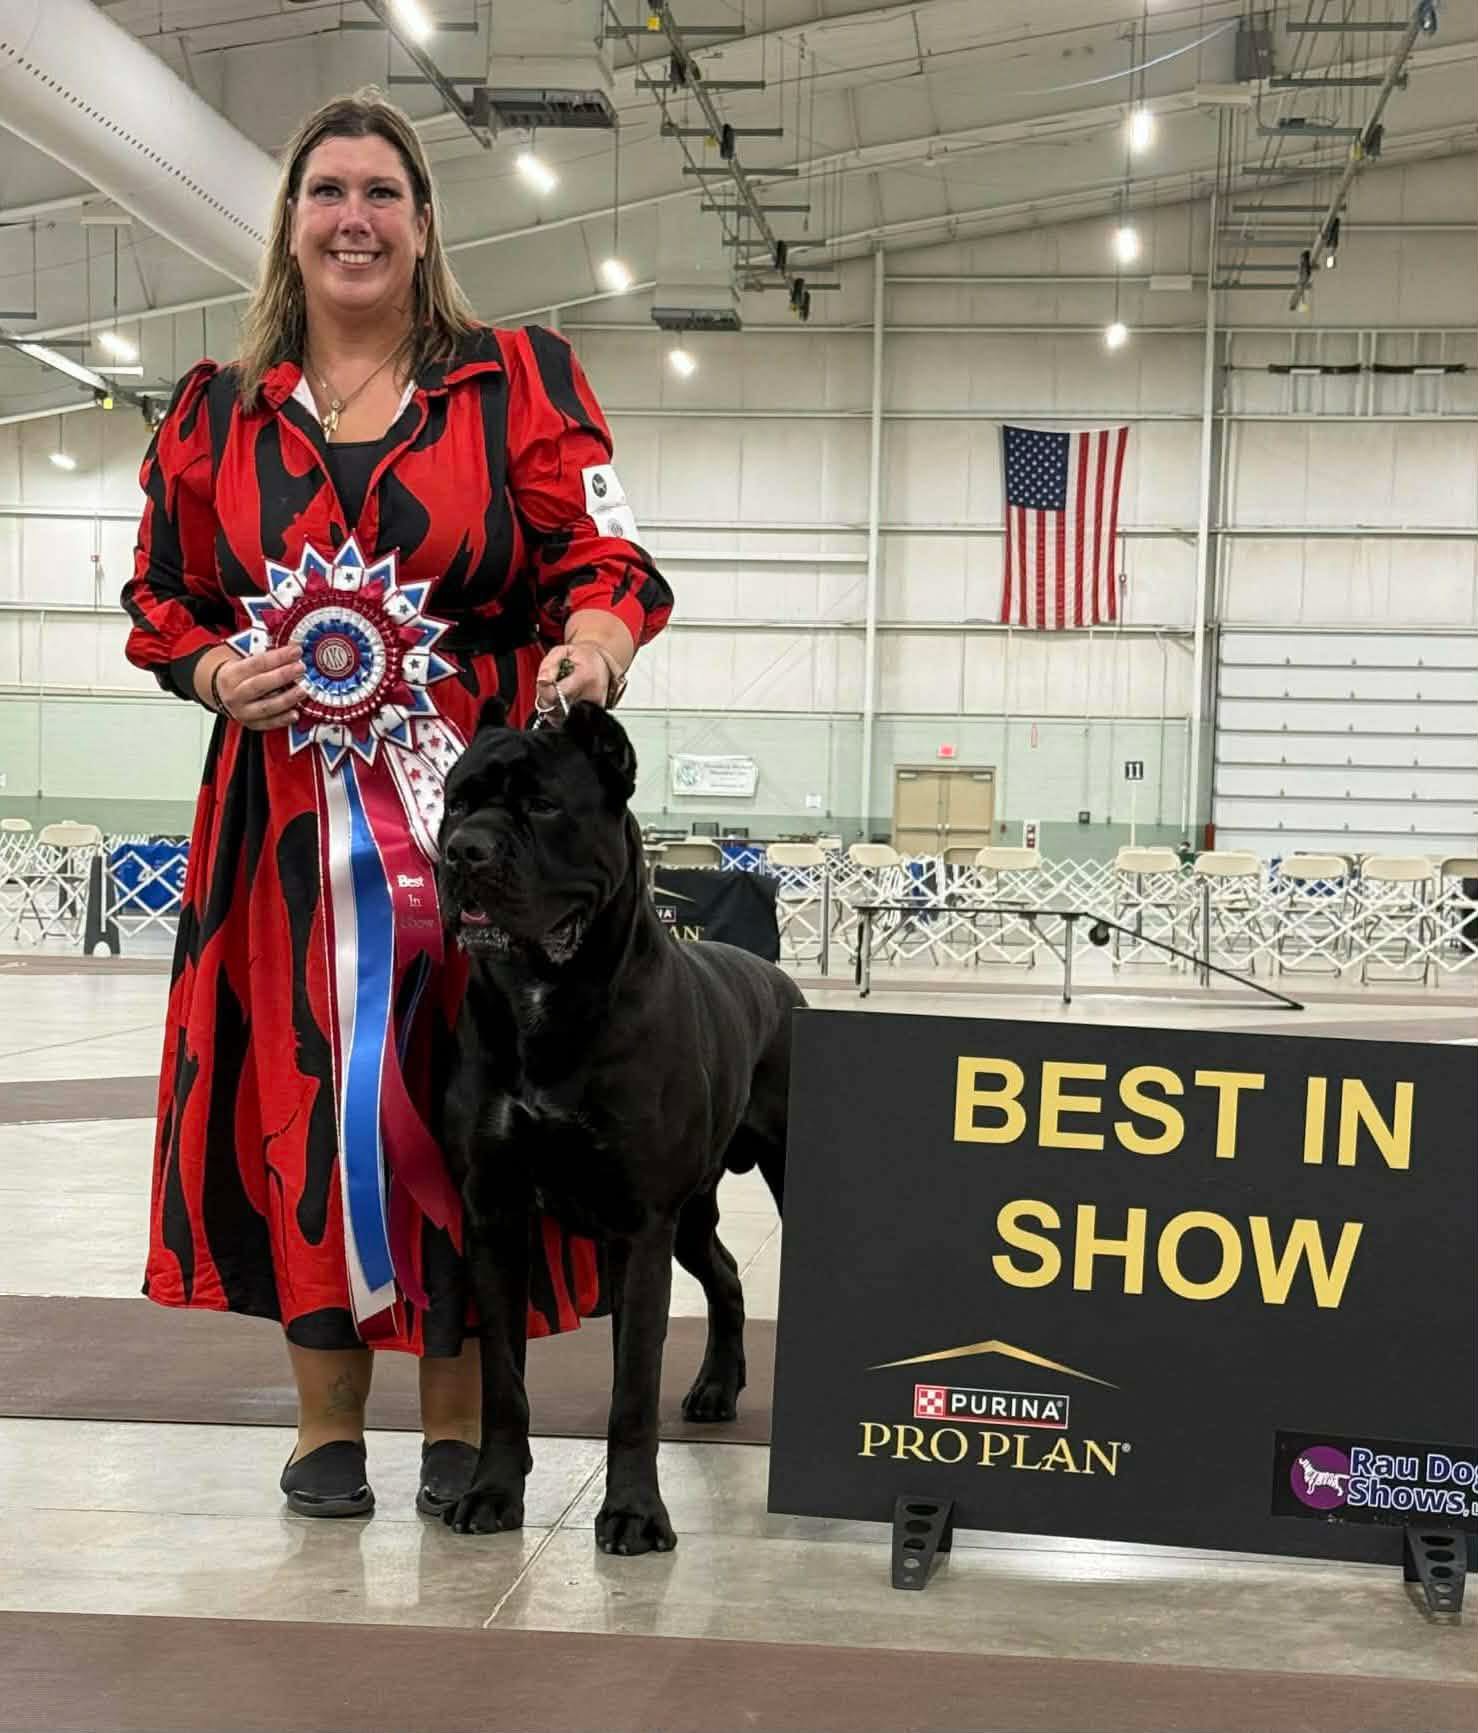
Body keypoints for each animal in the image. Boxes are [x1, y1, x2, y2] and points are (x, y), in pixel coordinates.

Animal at [436, 697, 802, 1555]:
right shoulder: (494, 1211)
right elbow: (503, 1378)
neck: (545, 993)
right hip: (692, 1212)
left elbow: (632, 1385)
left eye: (543, 805)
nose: (464, 850)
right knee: (726, 1273)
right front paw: (491, 1493)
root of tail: (776, 976)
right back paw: (715, 1388)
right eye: (458, 802)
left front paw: (635, 1512)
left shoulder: (640, 1224)